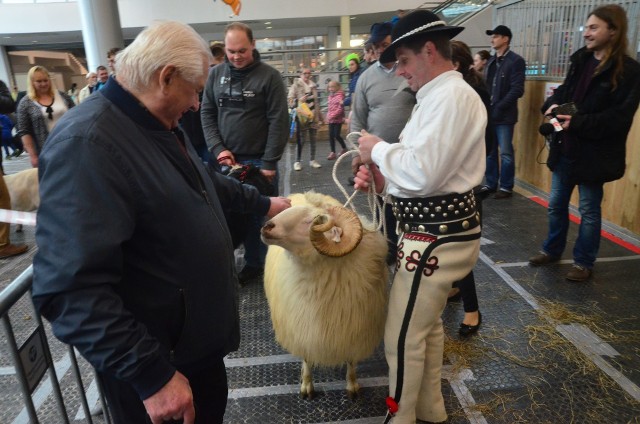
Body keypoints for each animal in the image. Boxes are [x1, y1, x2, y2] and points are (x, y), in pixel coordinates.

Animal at [262, 190, 390, 400]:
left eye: (310, 221)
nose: (267, 227)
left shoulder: (353, 328)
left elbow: (351, 361)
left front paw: (352, 385)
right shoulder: (302, 325)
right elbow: (307, 357)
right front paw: (307, 385)